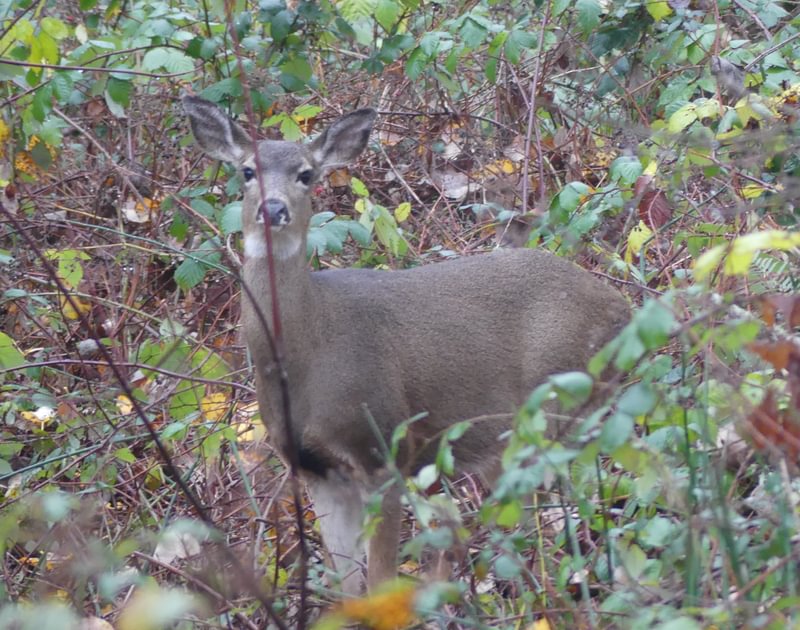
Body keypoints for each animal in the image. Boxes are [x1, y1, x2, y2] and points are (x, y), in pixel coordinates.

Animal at [182, 96, 631, 595]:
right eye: (246, 170)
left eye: (306, 174)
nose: (273, 208)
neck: (309, 354)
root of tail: (623, 307)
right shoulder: (315, 468)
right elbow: (347, 584)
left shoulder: (384, 446)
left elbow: (380, 579)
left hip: (559, 401)